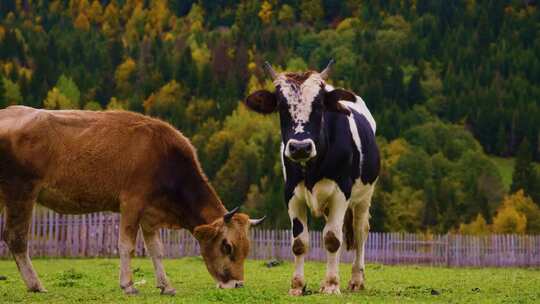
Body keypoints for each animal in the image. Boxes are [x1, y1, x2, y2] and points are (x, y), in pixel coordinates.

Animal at [0, 105, 264, 294]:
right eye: (227, 246)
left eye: (247, 248)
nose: (237, 284)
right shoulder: (131, 202)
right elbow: (127, 244)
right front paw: (128, 285)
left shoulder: (151, 215)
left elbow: (157, 250)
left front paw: (166, 285)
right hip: (21, 191)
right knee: (16, 238)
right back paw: (35, 285)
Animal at [245, 60, 380, 296]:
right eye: (281, 107)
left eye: (318, 106)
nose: (300, 147)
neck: (313, 167)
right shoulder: (291, 193)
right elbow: (299, 242)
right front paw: (298, 286)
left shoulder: (341, 193)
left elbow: (332, 239)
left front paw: (332, 284)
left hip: (364, 197)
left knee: (360, 232)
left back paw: (356, 279)